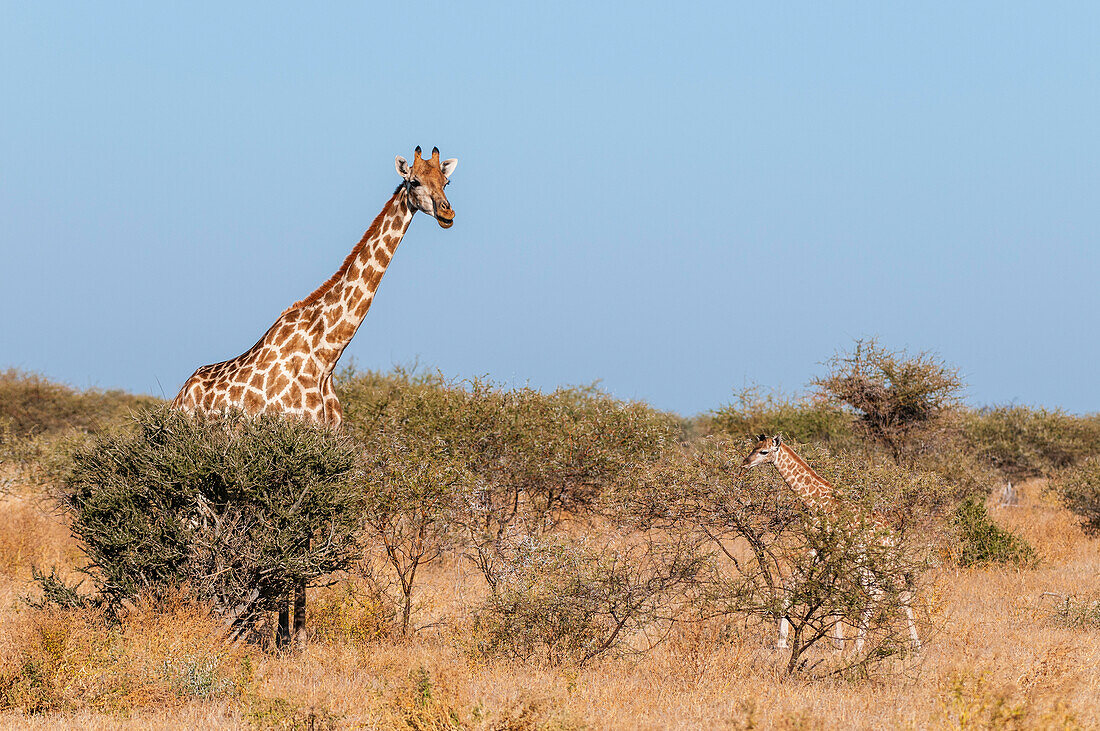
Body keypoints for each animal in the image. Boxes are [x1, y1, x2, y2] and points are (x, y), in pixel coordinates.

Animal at [170, 144, 459, 646]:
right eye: (414, 182)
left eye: (447, 181)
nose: (447, 214)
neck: (327, 352)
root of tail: (177, 399)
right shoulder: (288, 456)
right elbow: (289, 544)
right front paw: (287, 637)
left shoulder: (320, 460)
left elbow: (302, 542)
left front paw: (293, 635)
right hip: (197, 480)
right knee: (195, 535)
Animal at [739, 435, 919, 650]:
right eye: (754, 447)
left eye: (764, 452)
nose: (745, 463)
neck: (814, 500)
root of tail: (892, 534)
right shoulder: (817, 546)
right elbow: (792, 582)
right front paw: (782, 642)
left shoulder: (831, 547)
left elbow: (832, 592)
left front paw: (838, 643)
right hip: (865, 558)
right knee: (875, 590)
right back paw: (859, 646)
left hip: (884, 558)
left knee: (900, 590)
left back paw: (913, 646)